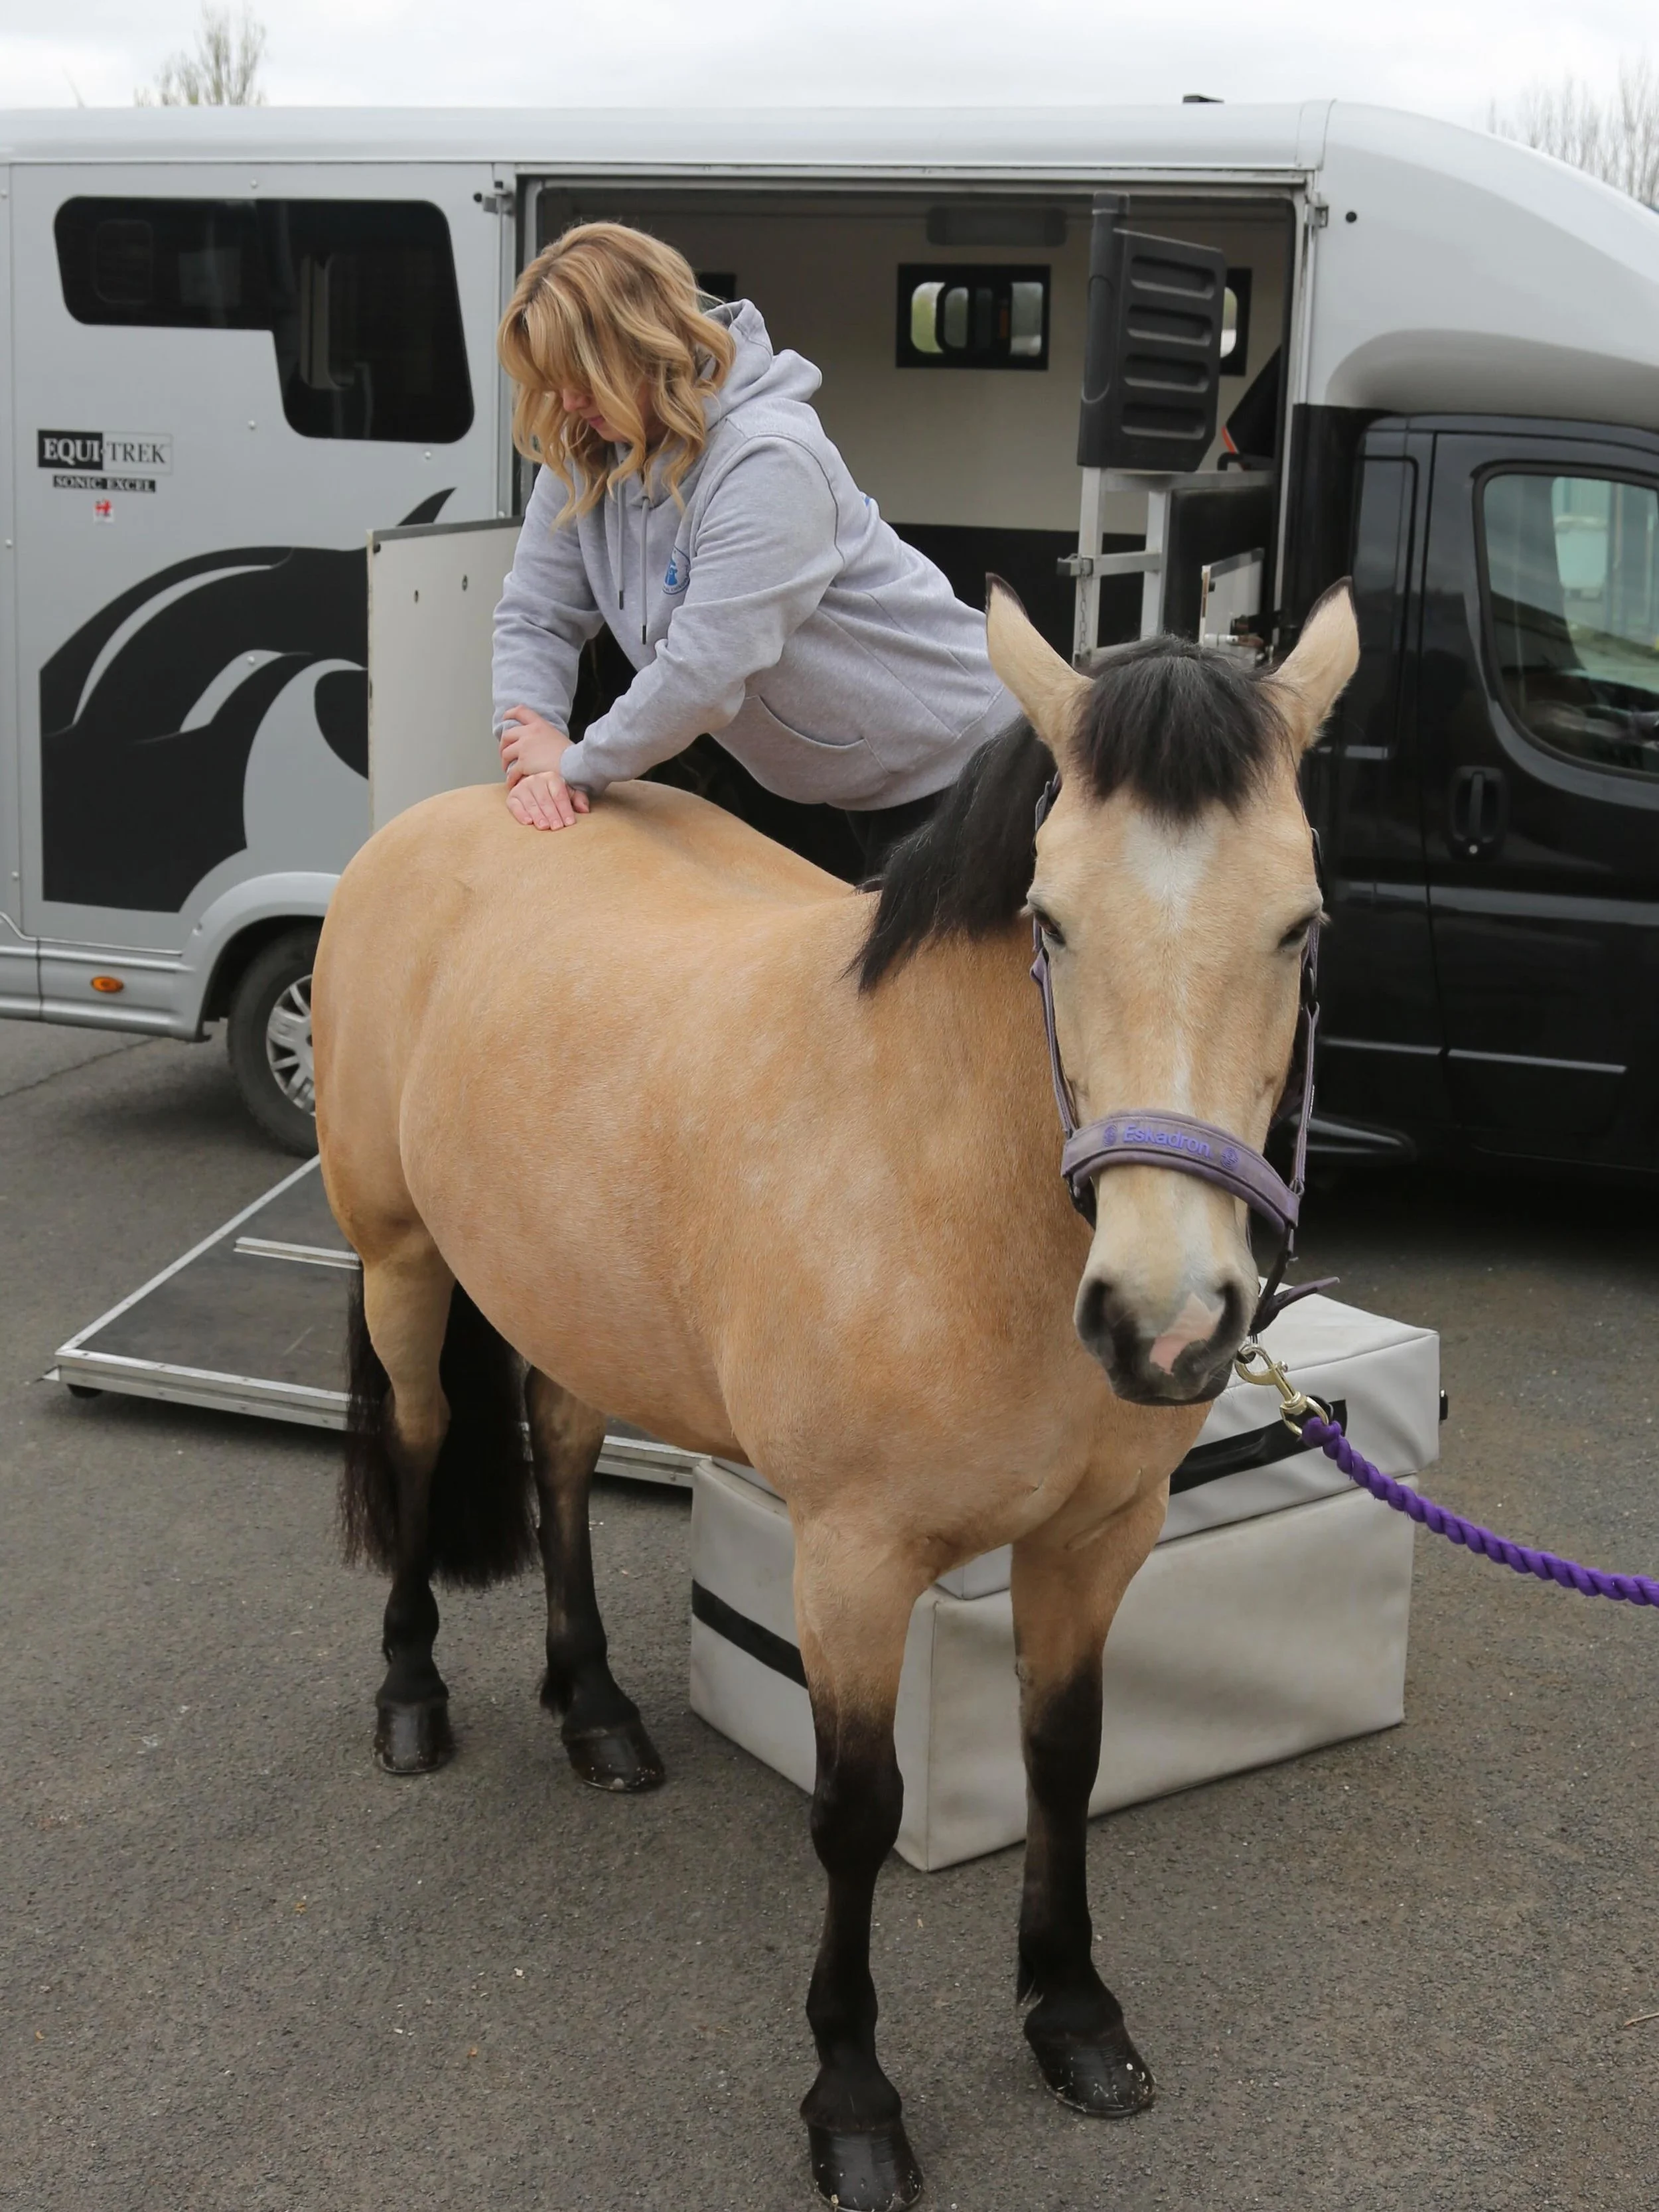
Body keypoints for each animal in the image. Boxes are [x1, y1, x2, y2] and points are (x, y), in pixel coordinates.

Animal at [313, 578, 1359, 2212]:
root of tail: (446, 818)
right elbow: (854, 1813)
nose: (1165, 1323)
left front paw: (1073, 2015)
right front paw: (853, 2099)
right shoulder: (852, 1561)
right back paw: (411, 1697)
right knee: (423, 1444)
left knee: (559, 1446)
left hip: (567, 1294)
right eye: (1051, 919)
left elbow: (1064, 1757)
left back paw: (595, 1710)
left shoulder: (1097, 1537)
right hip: (401, 1259)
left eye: (1298, 924)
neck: (939, 1172)